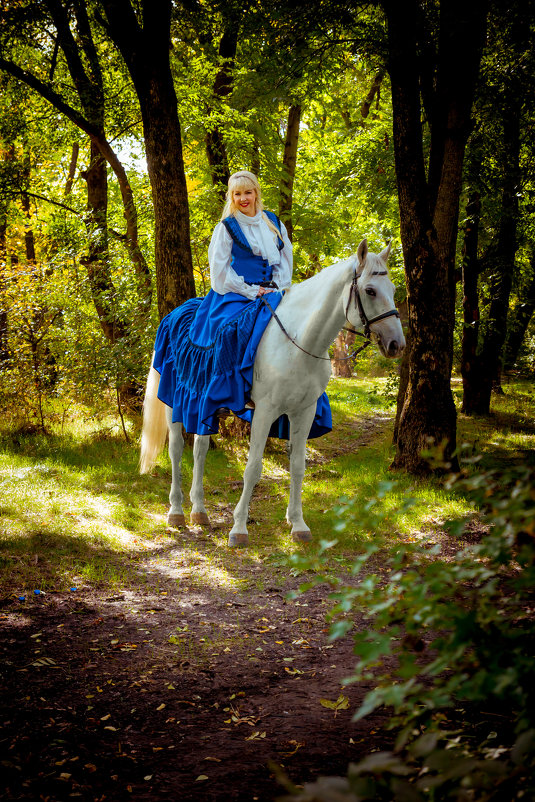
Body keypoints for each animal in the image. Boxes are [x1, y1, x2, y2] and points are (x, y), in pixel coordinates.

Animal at [140, 239, 404, 544]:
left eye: (393, 289)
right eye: (370, 290)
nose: (397, 344)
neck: (299, 343)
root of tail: (173, 314)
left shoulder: (304, 412)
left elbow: (298, 466)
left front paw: (298, 524)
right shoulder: (265, 412)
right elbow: (253, 467)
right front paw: (239, 528)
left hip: (206, 405)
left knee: (200, 448)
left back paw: (199, 511)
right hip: (176, 400)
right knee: (176, 448)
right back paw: (176, 511)